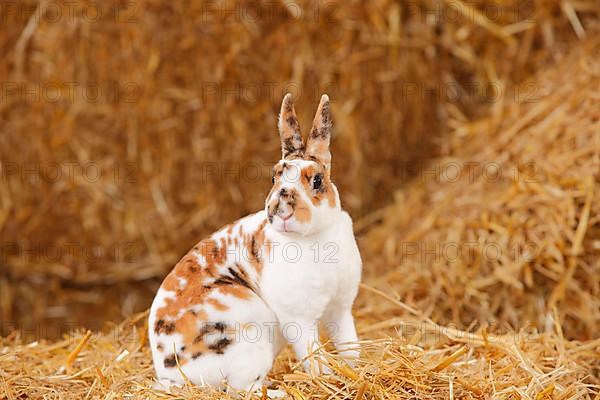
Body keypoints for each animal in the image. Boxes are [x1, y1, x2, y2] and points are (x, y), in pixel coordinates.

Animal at [149, 93, 360, 394]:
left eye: (318, 180)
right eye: (274, 177)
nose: (279, 210)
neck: (314, 236)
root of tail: (171, 374)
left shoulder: (340, 310)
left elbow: (349, 347)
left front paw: (357, 372)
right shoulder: (298, 320)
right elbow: (314, 356)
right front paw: (326, 381)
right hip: (250, 340)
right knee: (242, 389)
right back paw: (279, 392)